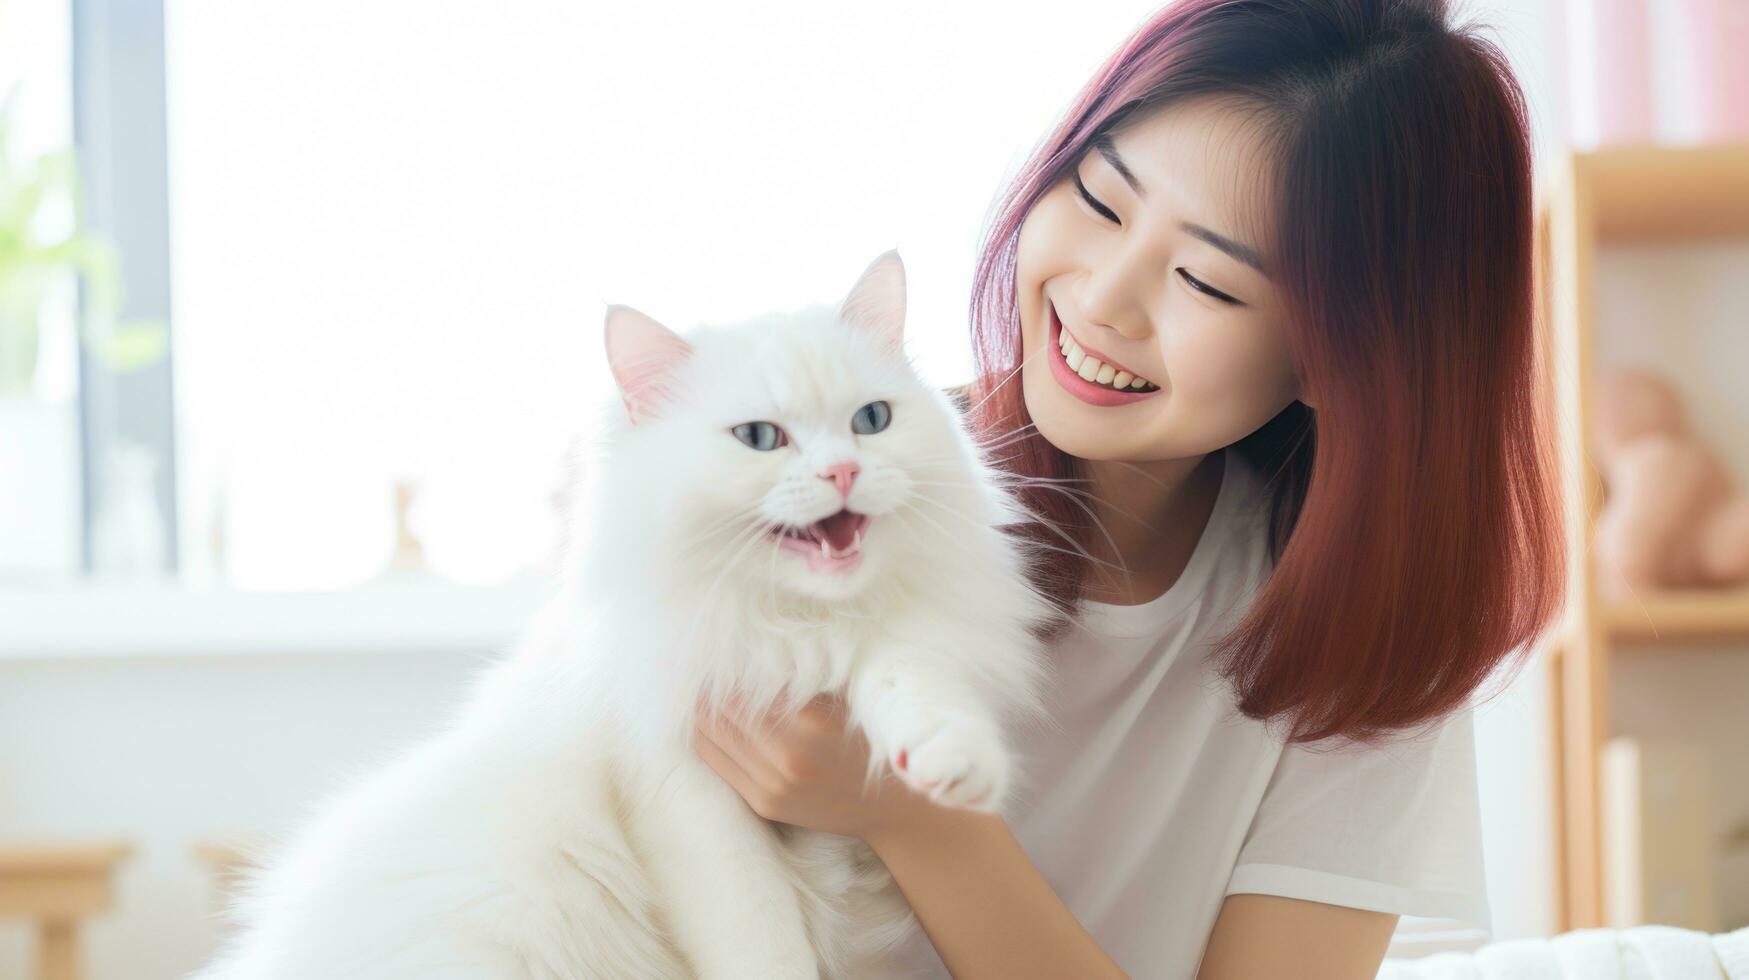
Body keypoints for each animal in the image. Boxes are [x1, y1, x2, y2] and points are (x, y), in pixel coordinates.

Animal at [198, 252, 1056, 980]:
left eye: (871, 421)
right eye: (759, 438)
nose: (843, 470)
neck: (791, 631)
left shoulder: (897, 649)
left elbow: (913, 684)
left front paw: (952, 766)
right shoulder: (688, 804)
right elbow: (761, 946)